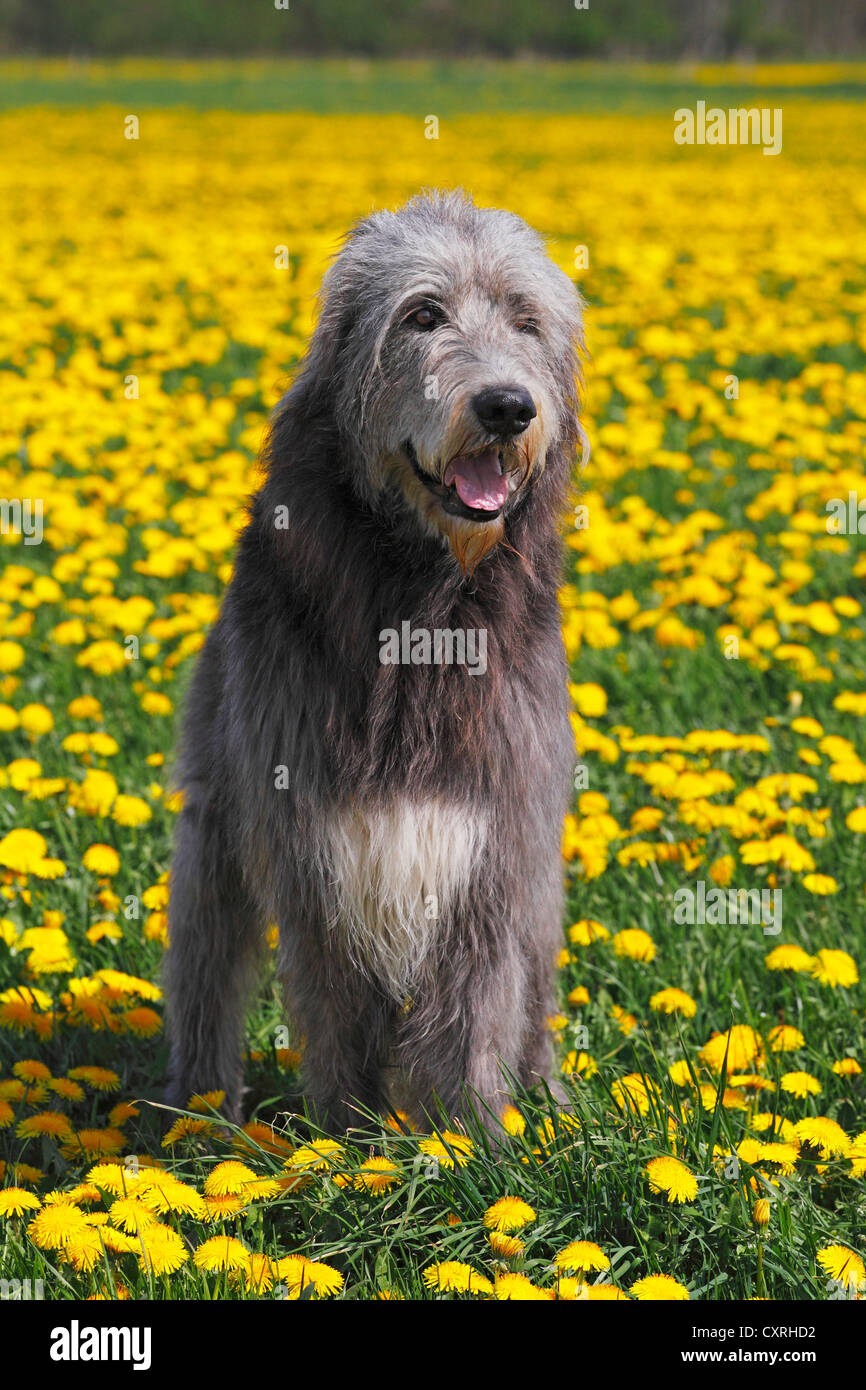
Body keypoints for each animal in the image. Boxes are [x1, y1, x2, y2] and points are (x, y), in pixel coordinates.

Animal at [164, 190, 583, 1134]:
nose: (507, 407)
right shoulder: (314, 837)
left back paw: (546, 1097)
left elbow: (478, 1001)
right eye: (422, 315)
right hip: (215, 815)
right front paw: (347, 1144)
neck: (422, 608)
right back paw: (196, 1112)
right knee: (207, 958)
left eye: (526, 320)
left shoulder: (493, 837)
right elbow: (337, 1005)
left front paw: (474, 1147)